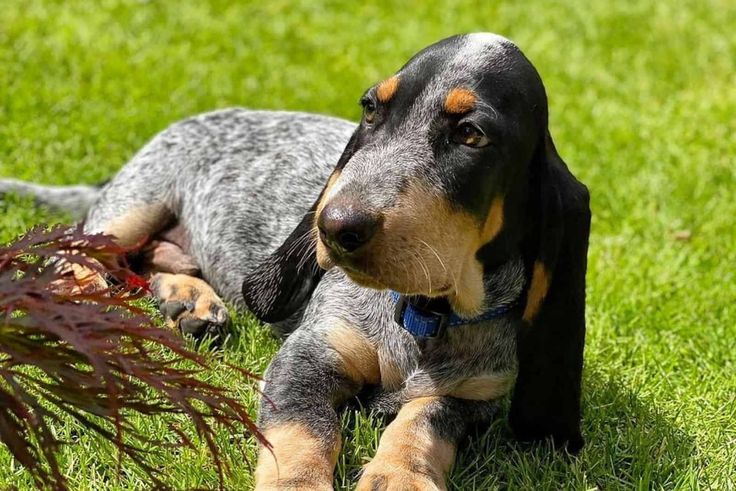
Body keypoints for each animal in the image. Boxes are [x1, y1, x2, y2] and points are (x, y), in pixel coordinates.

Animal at [0, 32, 588, 490]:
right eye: (371, 109)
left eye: (470, 134)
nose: (334, 226)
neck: (423, 314)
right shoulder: (307, 358)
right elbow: (306, 434)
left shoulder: (473, 399)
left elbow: (422, 423)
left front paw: (400, 474)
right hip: (133, 206)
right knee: (78, 253)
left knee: (146, 264)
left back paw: (190, 302)